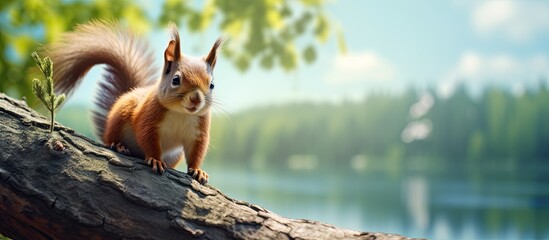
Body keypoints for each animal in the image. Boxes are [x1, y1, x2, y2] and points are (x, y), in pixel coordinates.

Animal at [48, 21, 223, 184]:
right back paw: (119, 146)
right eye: (175, 80)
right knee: (110, 139)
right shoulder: (149, 118)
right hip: (118, 120)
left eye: (212, 85)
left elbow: (197, 151)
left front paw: (198, 170)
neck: (181, 112)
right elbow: (147, 138)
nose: (196, 99)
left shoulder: (199, 131)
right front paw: (155, 160)